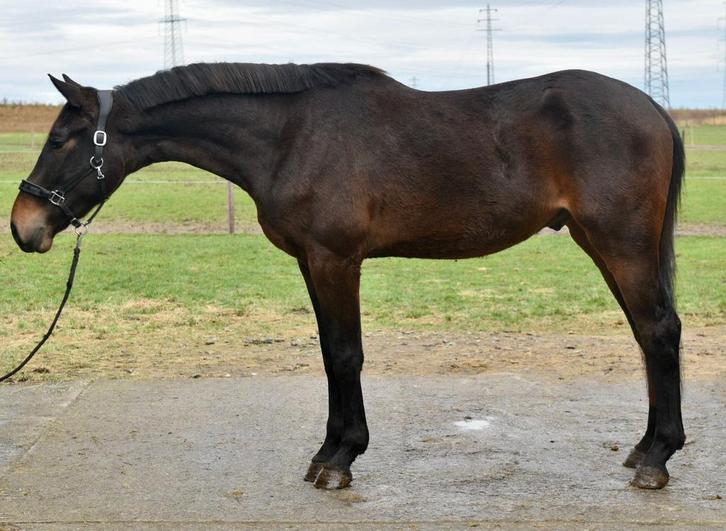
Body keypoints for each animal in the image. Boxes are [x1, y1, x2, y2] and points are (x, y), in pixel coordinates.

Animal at [10, 63, 685, 490]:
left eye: (64, 139)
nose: (23, 225)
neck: (290, 137)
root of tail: (653, 108)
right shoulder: (312, 261)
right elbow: (329, 353)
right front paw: (330, 451)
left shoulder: (336, 258)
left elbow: (344, 354)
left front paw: (340, 459)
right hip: (603, 244)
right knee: (648, 336)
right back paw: (643, 449)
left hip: (620, 243)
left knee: (658, 332)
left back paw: (657, 459)